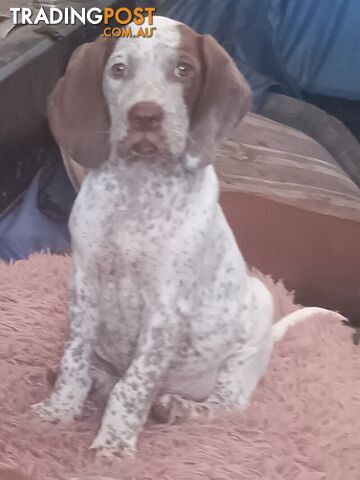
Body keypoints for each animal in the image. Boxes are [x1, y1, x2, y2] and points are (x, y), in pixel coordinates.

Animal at [31, 15, 346, 458]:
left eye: (184, 70)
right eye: (118, 70)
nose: (146, 116)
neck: (138, 189)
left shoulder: (165, 309)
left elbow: (134, 385)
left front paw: (114, 445)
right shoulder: (83, 286)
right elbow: (74, 359)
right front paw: (60, 409)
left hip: (251, 324)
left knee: (225, 404)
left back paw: (178, 407)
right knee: (108, 376)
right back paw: (96, 382)